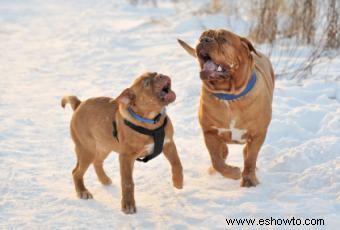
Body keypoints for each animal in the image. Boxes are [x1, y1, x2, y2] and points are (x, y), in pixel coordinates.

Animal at [61, 72, 183, 214]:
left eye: (157, 73)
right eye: (146, 83)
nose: (162, 75)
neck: (151, 121)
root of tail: (79, 105)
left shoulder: (169, 144)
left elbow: (177, 163)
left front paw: (178, 182)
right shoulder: (126, 157)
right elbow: (127, 182)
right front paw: (128, 205)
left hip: (104, 146)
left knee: (97, 162)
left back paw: (104, 180)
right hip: (86, 150)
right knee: (76, 172)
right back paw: (82, 191)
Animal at [179, 28, 274, 187]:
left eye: (223, 39)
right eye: (202, 36)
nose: (204, 40)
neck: (229, 97)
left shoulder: (258, 134)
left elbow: (251, 158)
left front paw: (249, 179)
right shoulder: (210, 132)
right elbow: (216, 160)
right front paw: (233, 172)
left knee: (246, 152)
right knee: (222, 153)